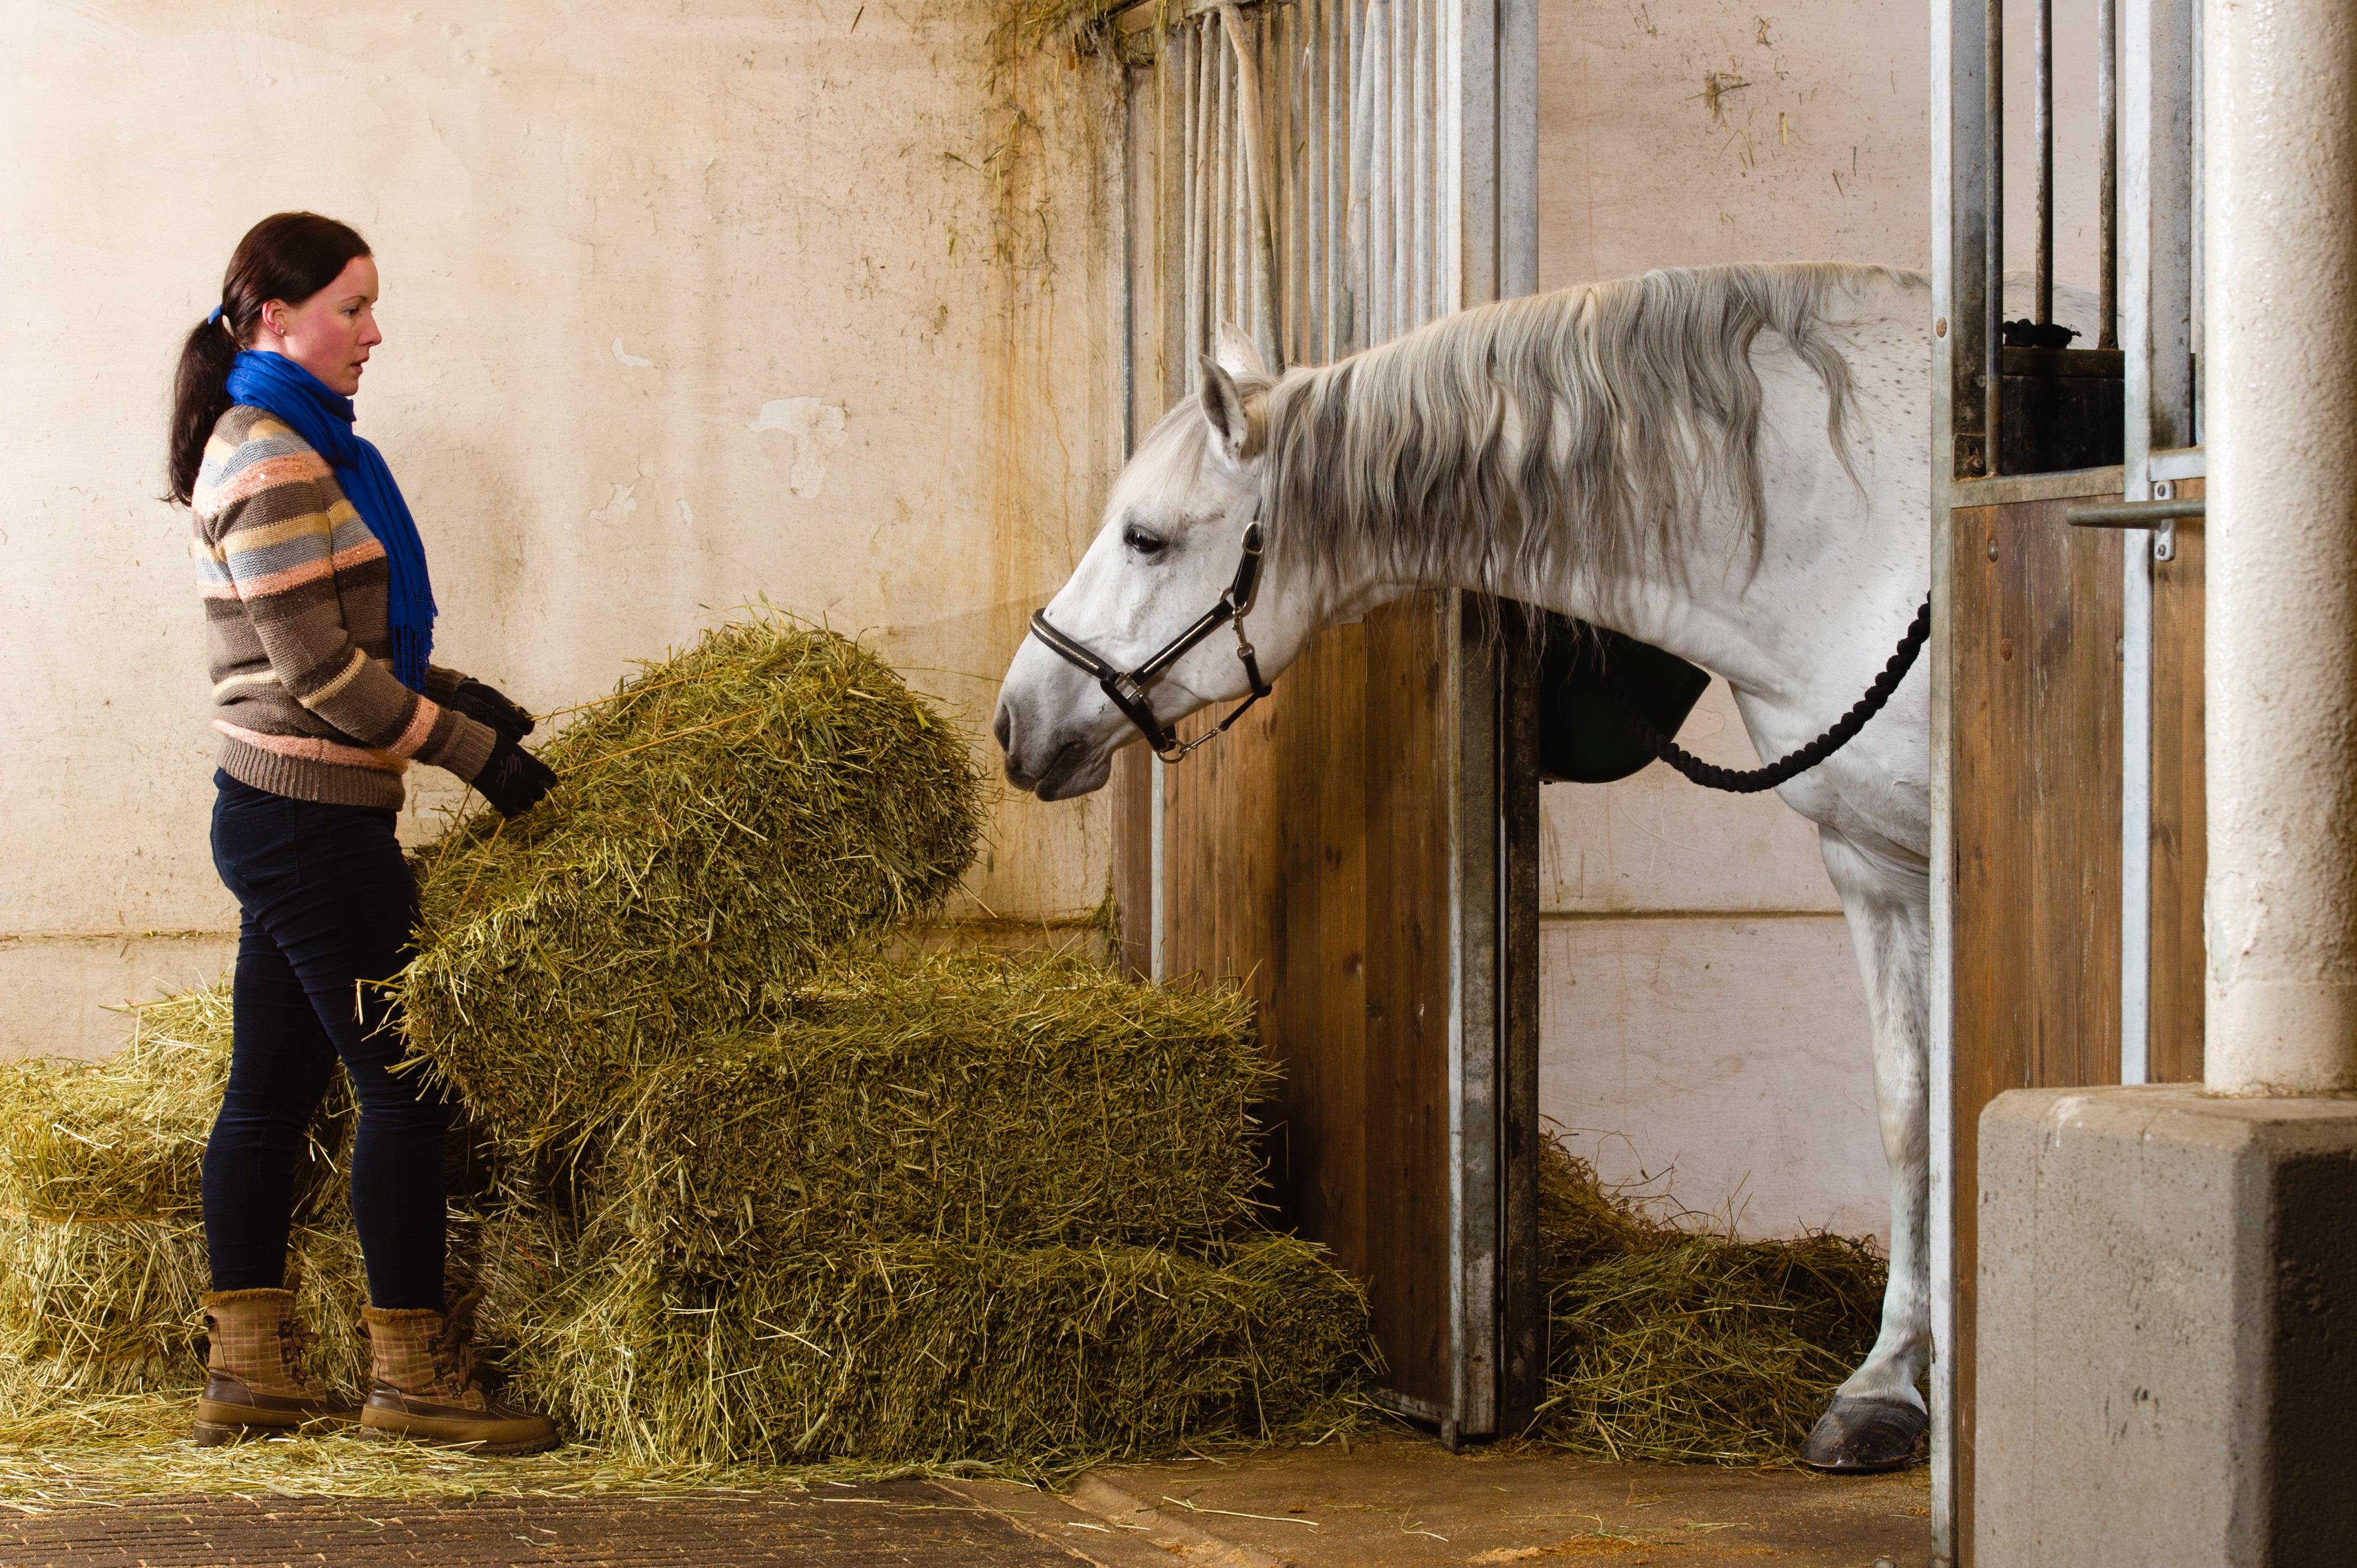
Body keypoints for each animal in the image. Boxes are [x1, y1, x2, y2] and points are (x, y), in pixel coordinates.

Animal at [995, 262, 1951, 1471]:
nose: (1015, 722)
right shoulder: (1872, 863)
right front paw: (1886, 1387)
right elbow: (1910, 1111)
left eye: (1147, 540)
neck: (1861, 540)